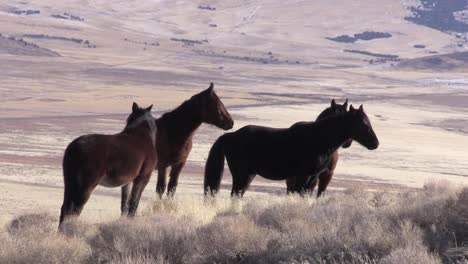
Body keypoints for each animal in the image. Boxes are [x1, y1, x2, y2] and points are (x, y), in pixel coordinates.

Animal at [203, 104, 378, 197]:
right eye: (363, 124)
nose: (375, 143)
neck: (319, 138)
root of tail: (230, 136)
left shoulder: (313, 178)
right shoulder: (302, 176)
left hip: (248, 175)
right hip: (242, 175)